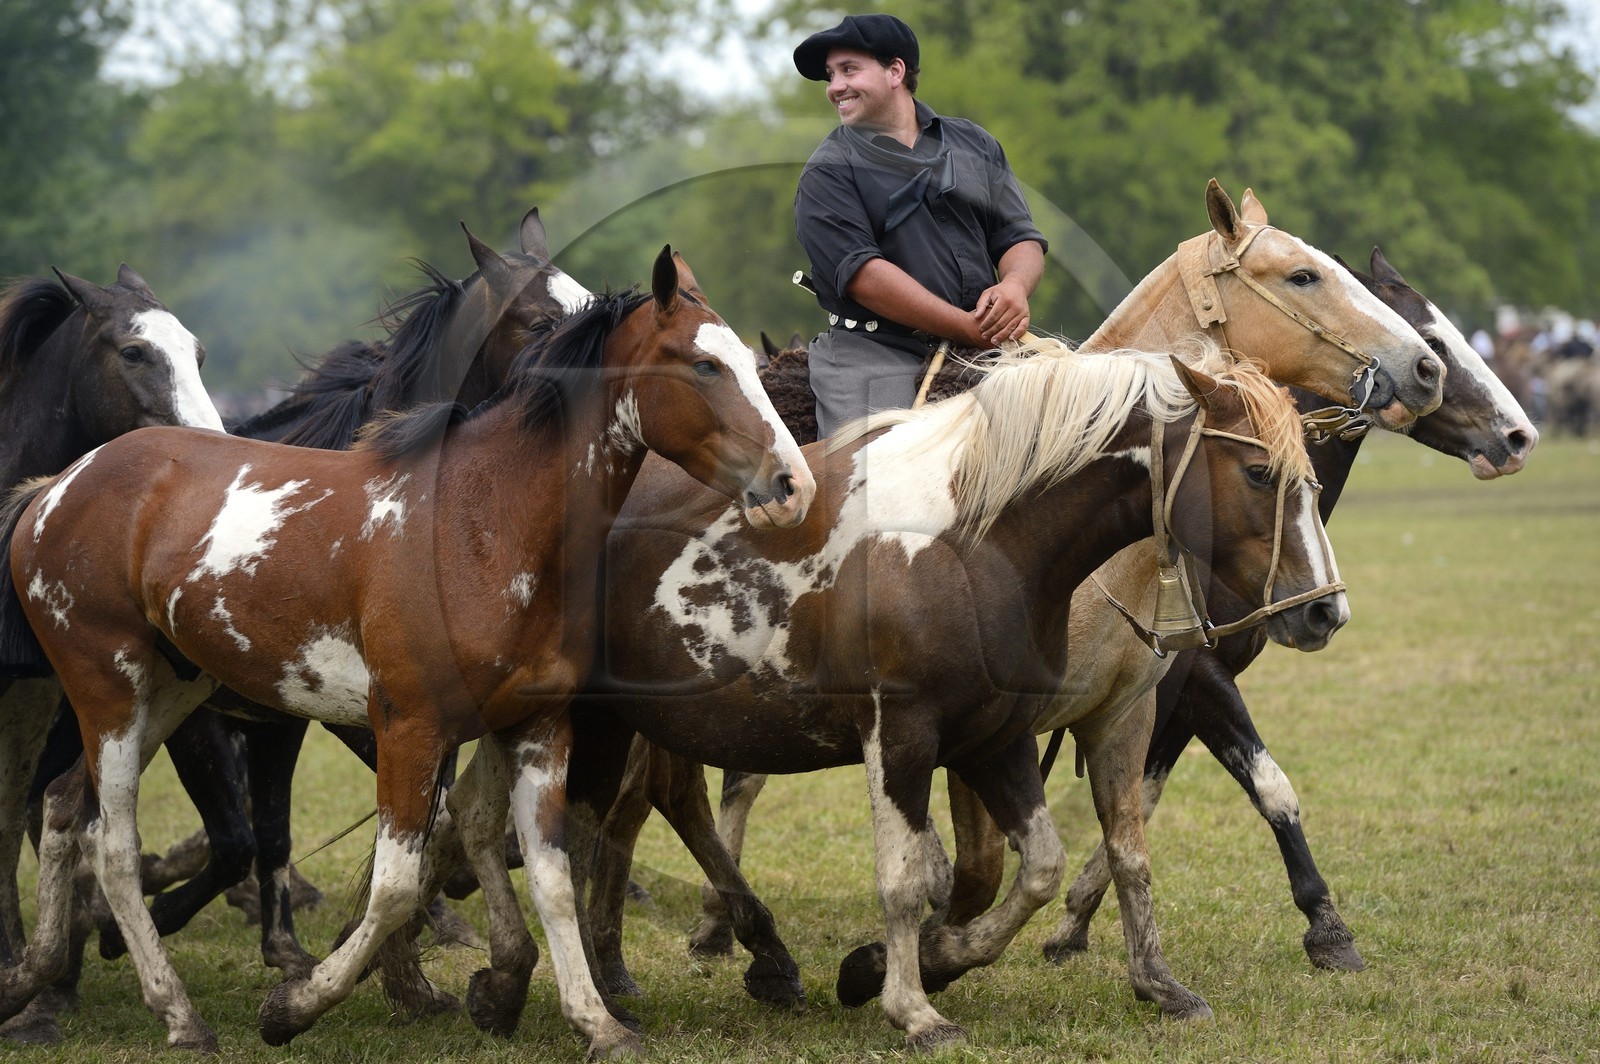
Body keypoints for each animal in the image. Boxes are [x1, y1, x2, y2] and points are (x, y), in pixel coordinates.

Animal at [558, 336, 1346, 1051]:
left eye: (1310, 477)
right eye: (1258, 472)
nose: (1324, 612)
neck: (974, 541)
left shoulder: (998, 736)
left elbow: (1041, 867)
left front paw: (902, 966)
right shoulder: (902, 737)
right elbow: (908, 879)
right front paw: (914, 1009)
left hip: (612, 725)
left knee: (600, 829)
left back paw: (617, 986)